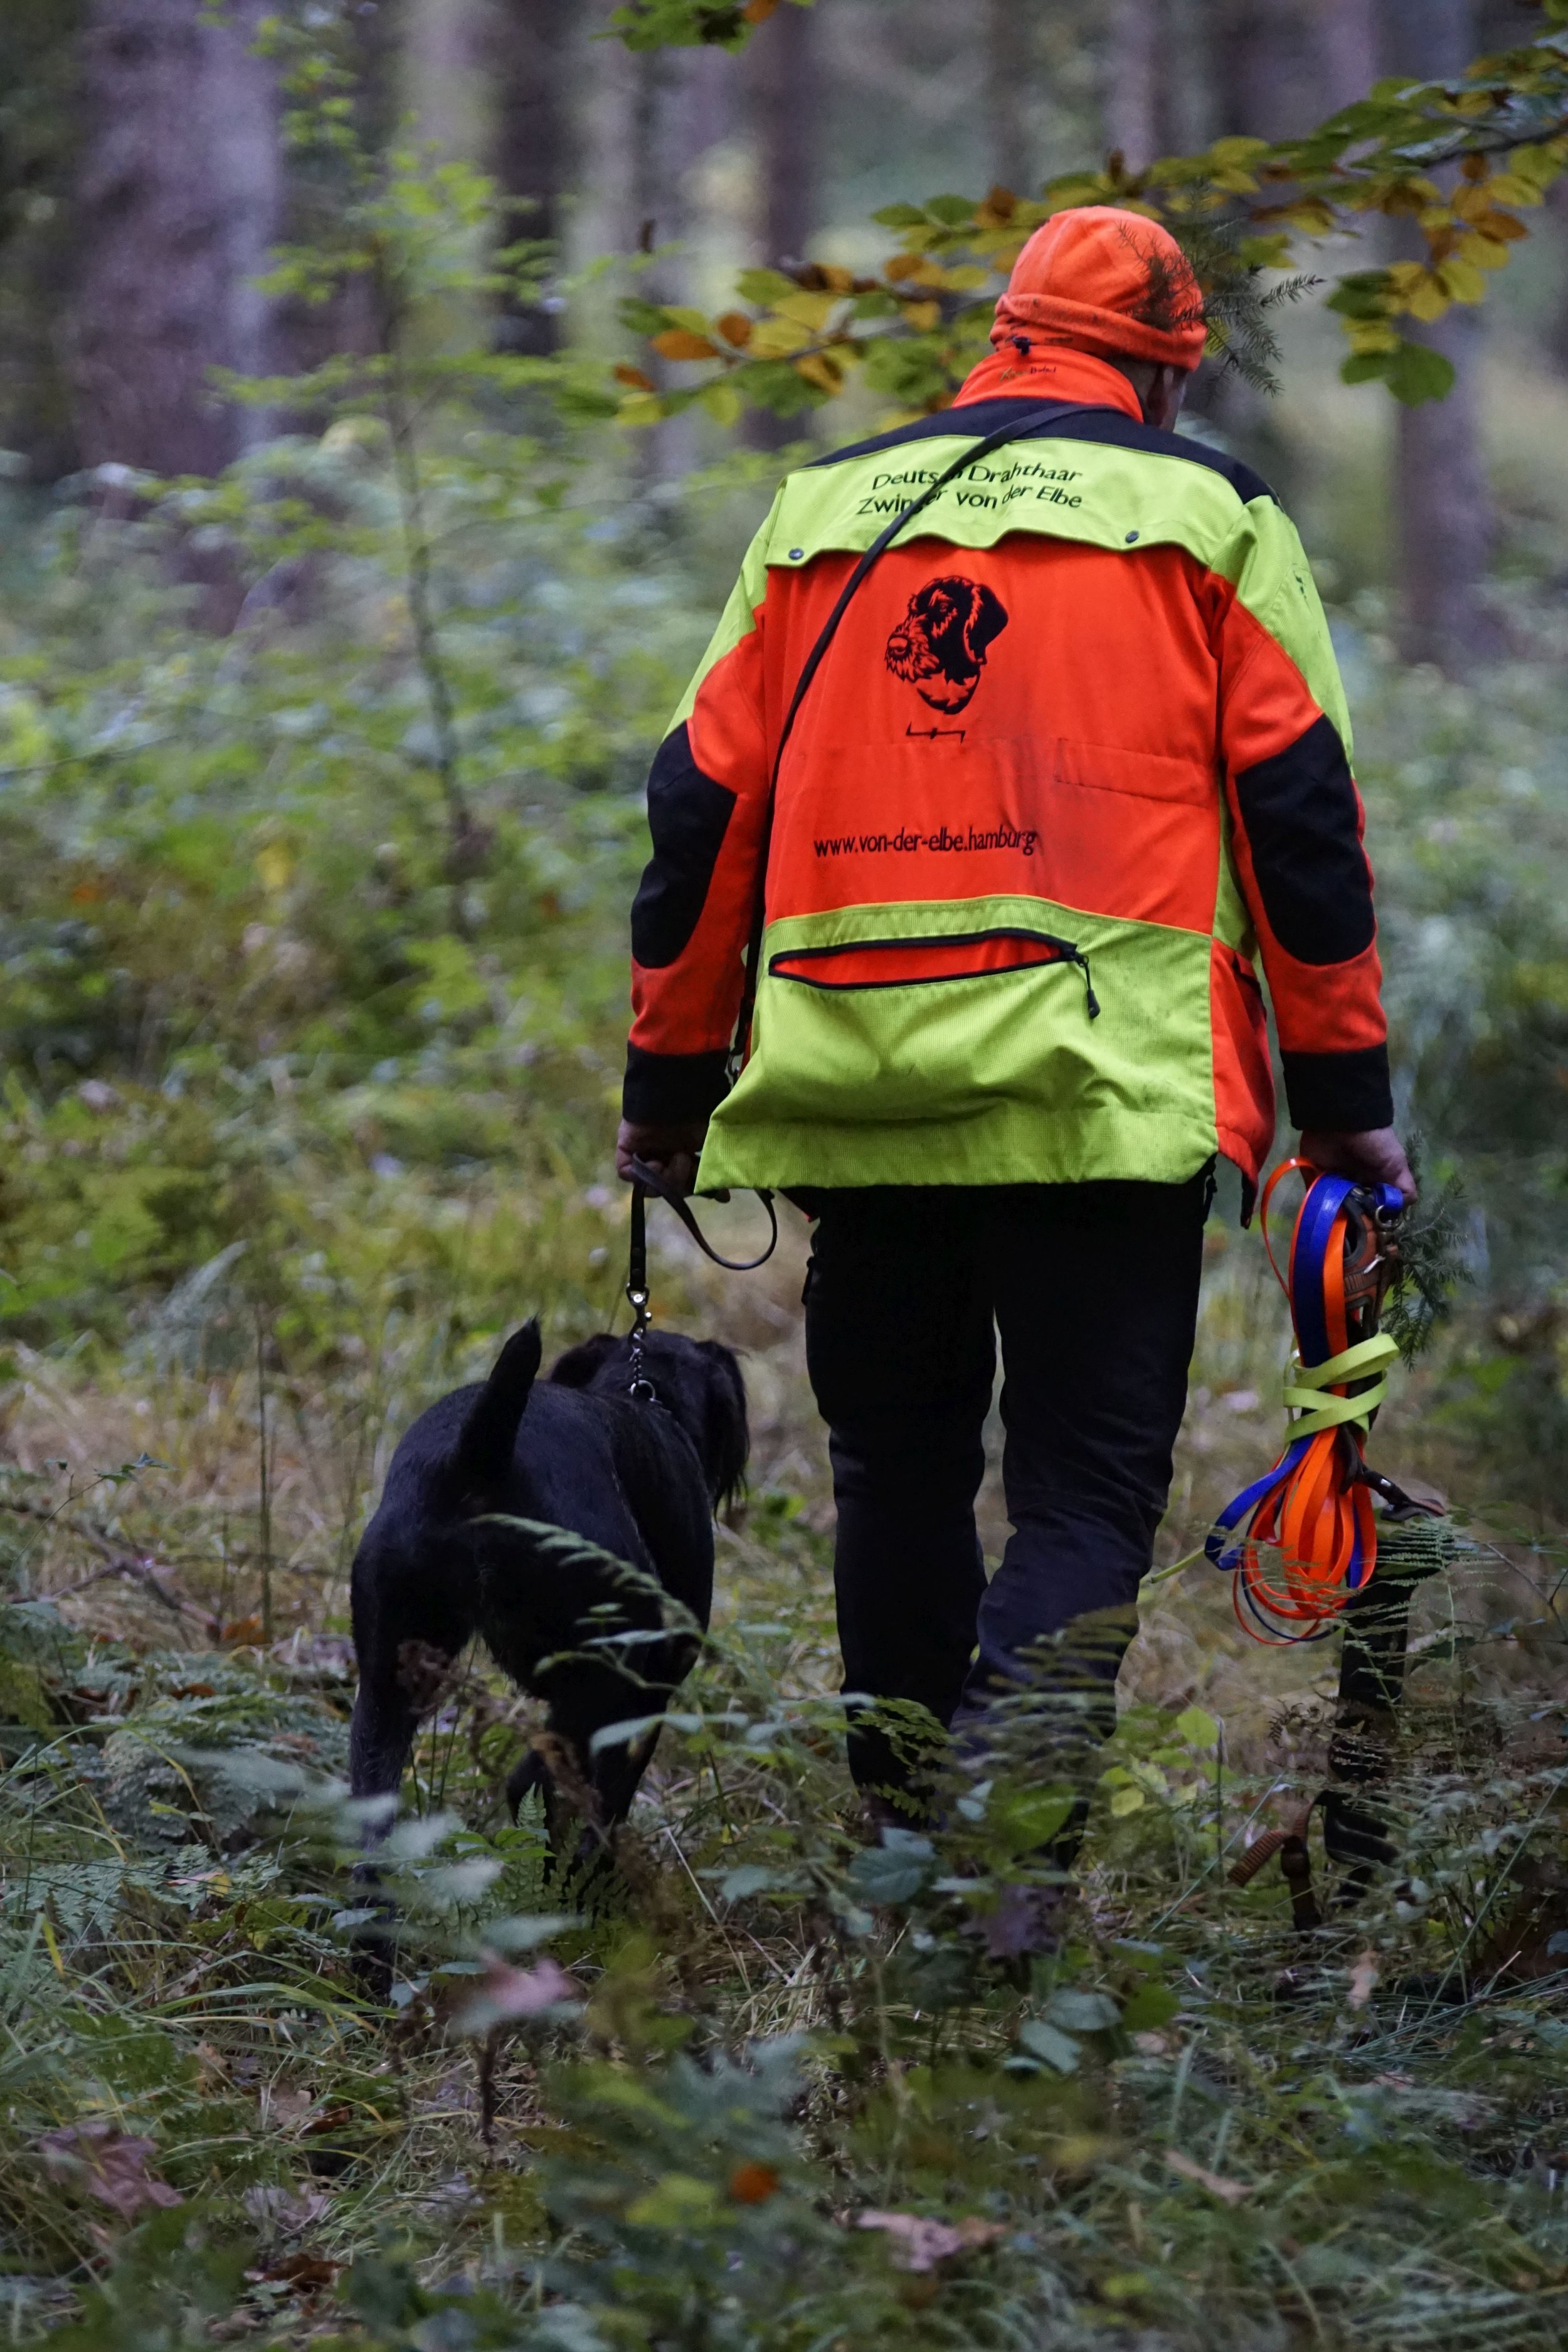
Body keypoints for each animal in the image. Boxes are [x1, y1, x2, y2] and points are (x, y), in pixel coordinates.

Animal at [348, 1320, 747, 1858]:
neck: (644, 1395)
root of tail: (479, 1461)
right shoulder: (650, 1697)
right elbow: (612, 1797)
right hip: (607, 1671)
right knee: (535, 1781)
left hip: (387, 1681)